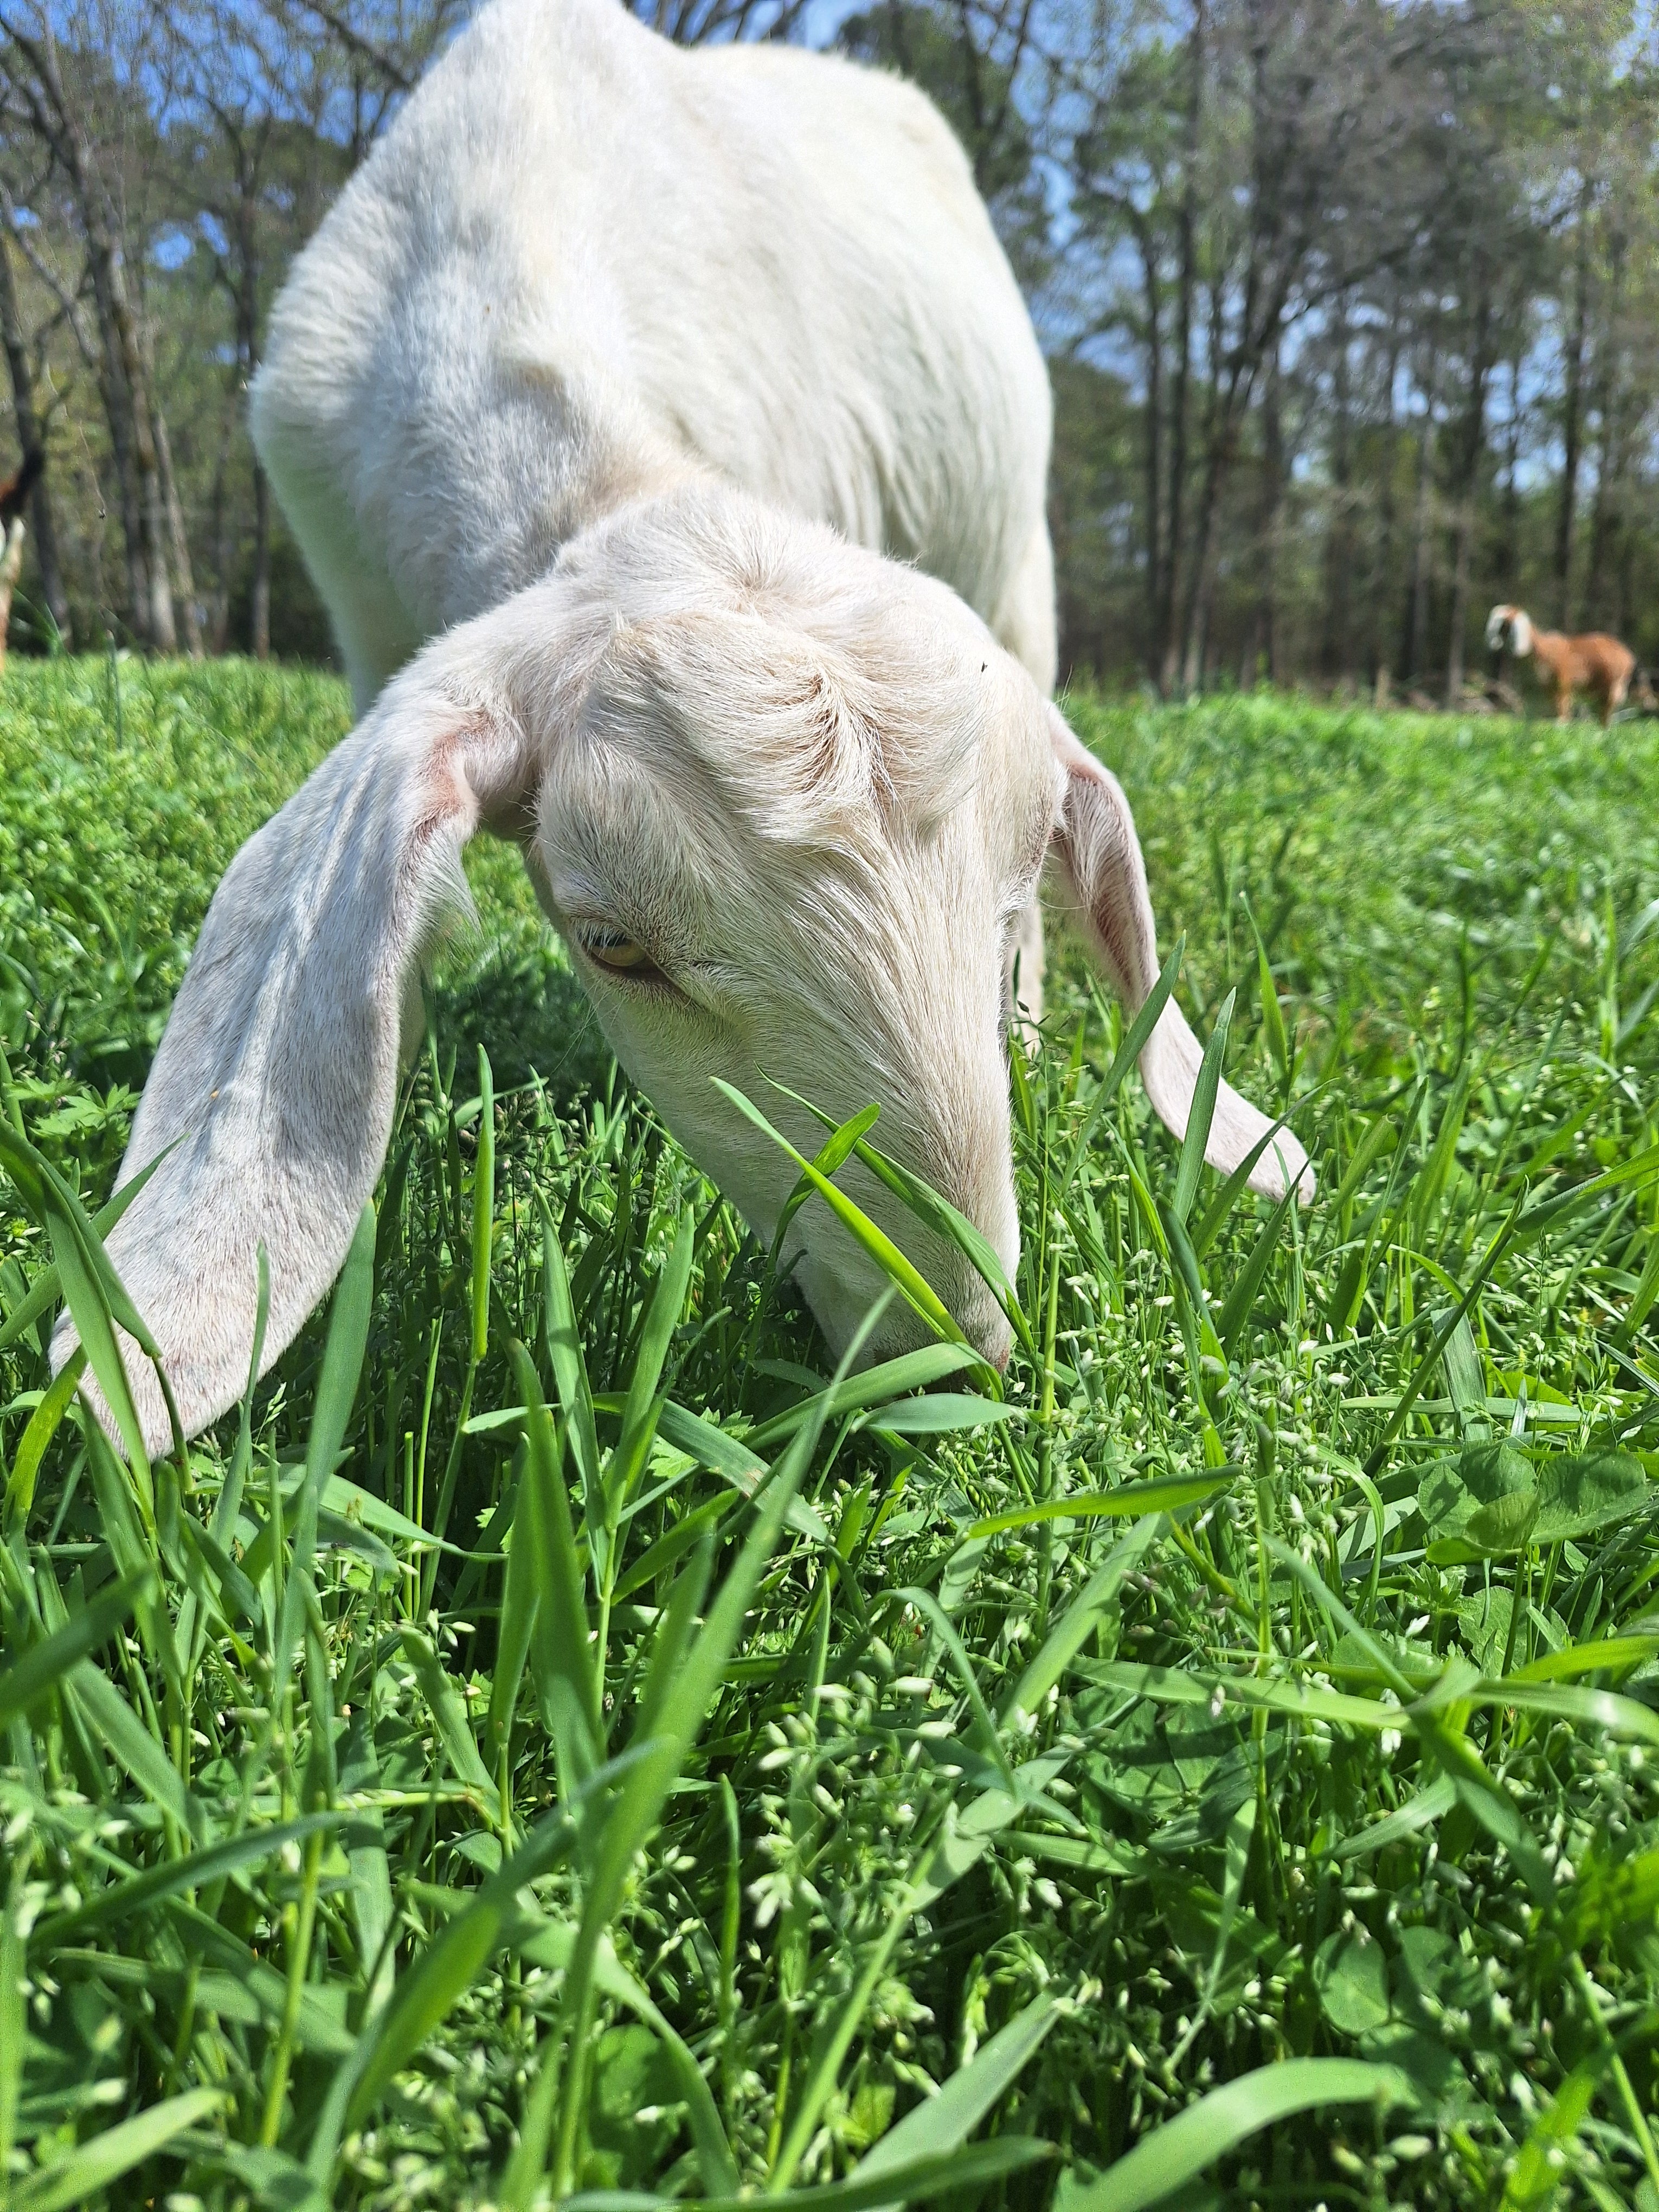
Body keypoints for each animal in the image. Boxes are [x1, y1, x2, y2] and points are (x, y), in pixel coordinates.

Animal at [1485, 605, 1638, 729]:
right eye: (1503, 627)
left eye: (1506, 624)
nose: (1495, 643)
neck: (1543, 649)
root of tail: (1627, 656)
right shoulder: (1549, 688)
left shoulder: (1564, 683)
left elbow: (1563, 710)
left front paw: (1561, 726)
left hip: (1612, 686)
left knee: (1606, 712)